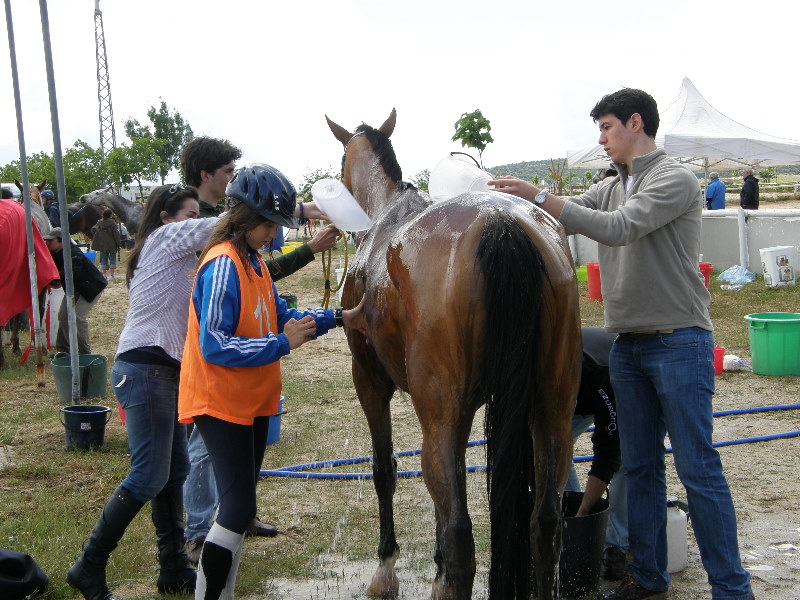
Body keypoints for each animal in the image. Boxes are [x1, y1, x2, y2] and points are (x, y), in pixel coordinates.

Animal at [328, 109, 584, 600]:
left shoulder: (370, 381)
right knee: (545, 524)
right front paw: (435, 563)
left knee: (463, 538)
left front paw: (387, 568)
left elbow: (384, 470)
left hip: (441, 418)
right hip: (552, 413)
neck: (386, 214)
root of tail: (500, 223)